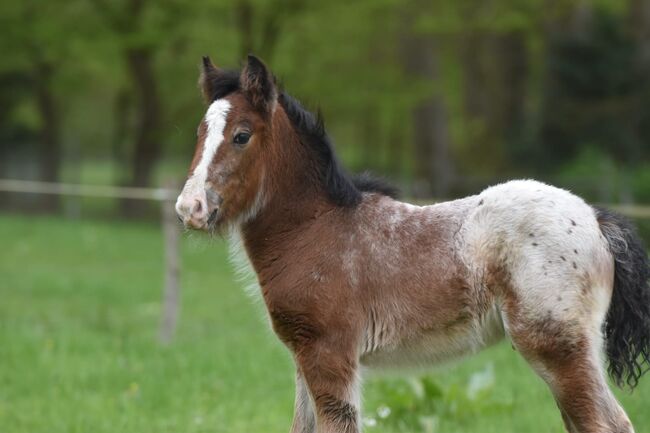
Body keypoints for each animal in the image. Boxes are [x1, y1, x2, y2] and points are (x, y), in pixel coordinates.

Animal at [175, 54, 648, 432]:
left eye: (241, 135)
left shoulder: (329, 355)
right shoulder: (303, 357)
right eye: (199, 132)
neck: (315, 229)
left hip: (557, 348)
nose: (189, 208)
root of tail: (595, 218)